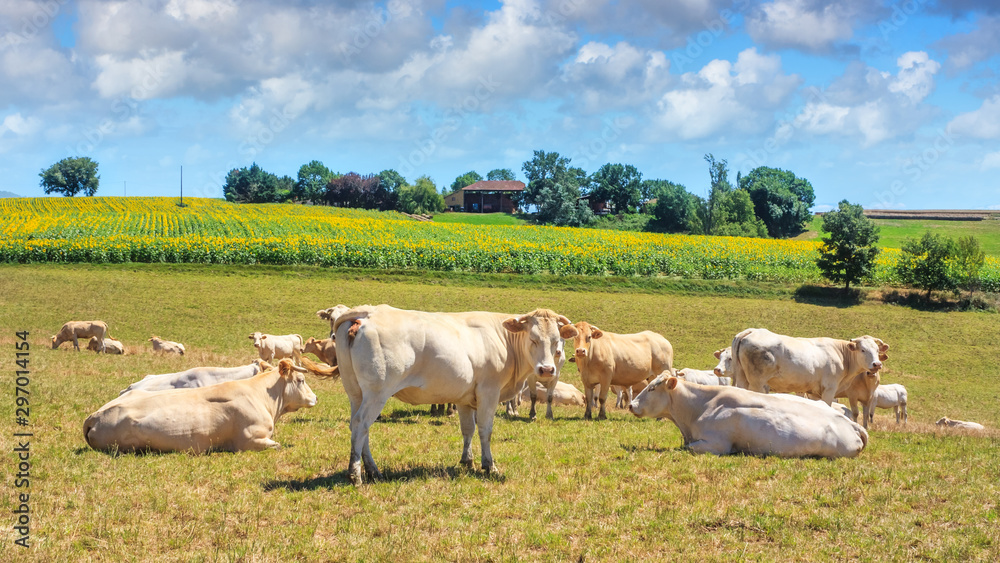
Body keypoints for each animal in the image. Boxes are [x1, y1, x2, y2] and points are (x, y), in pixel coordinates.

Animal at [84, 359, 317, 453]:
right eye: (301, 380)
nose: (315, 398)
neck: (260, 395)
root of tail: (95, 415)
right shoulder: (249, 440)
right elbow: (277, 445)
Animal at [314, 305, 577, 485]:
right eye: (533, 339)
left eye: (557, 341)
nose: (547, 370)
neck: (503, 340)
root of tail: (369, 312)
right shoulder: (488, 392)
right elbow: (485, 430)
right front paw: (489, 465)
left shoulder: (465, 398)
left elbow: (467, 429)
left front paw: (467, 461)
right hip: (377, 392)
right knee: (361, 424)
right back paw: (355, 474)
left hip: (356, 392)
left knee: (359, 427)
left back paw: (373, 470)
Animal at [728, 328, 888, 408]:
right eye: (863, 350)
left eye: (877, 350)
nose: (877, 364)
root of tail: (751, 331)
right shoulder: (829, 389)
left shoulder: (814, 392)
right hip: (757, 382)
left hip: (742, 378)